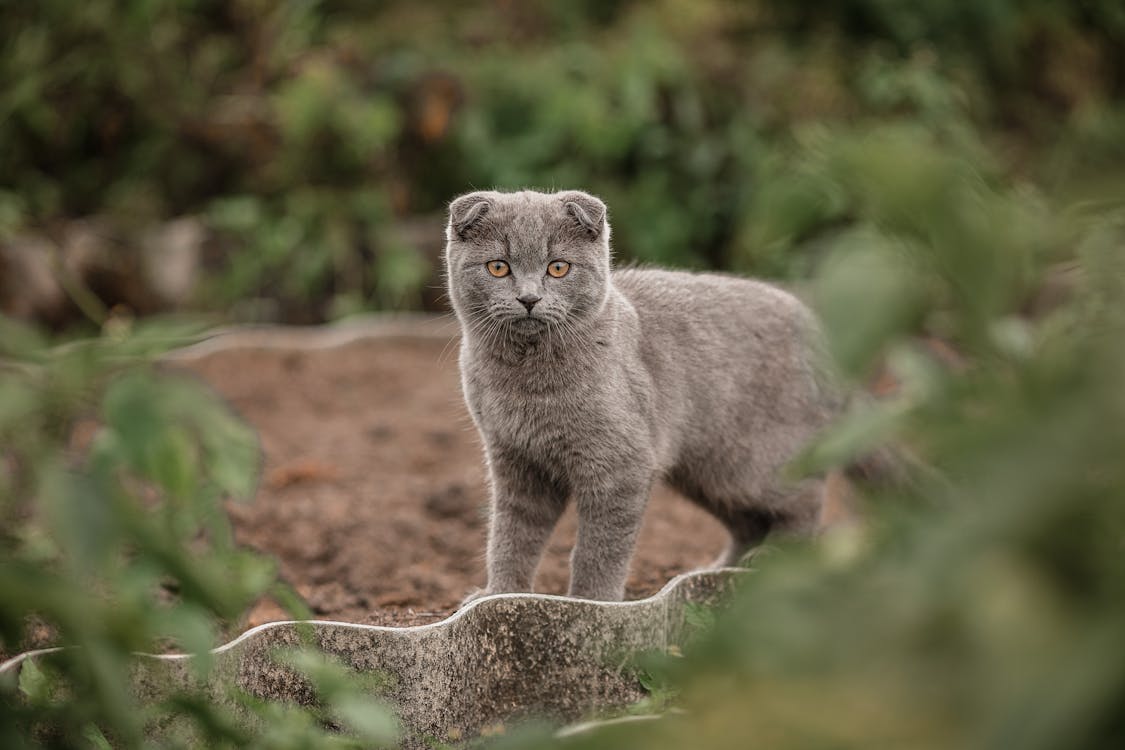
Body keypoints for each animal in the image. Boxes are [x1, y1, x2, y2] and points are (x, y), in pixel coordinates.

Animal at [443, 188, 841, 602]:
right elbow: (511, 534)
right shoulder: (515, 460)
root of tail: (819, 334)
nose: (528, 298)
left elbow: (599, 548)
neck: (526, 384)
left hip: (752, 464)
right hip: (705, 471)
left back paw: (775, 558)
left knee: (806, 497)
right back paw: (719, 569)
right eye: (498, 267)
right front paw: (499, 593)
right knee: (748, 522)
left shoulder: (622, 464)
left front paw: (590, 603)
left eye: (558, 268)